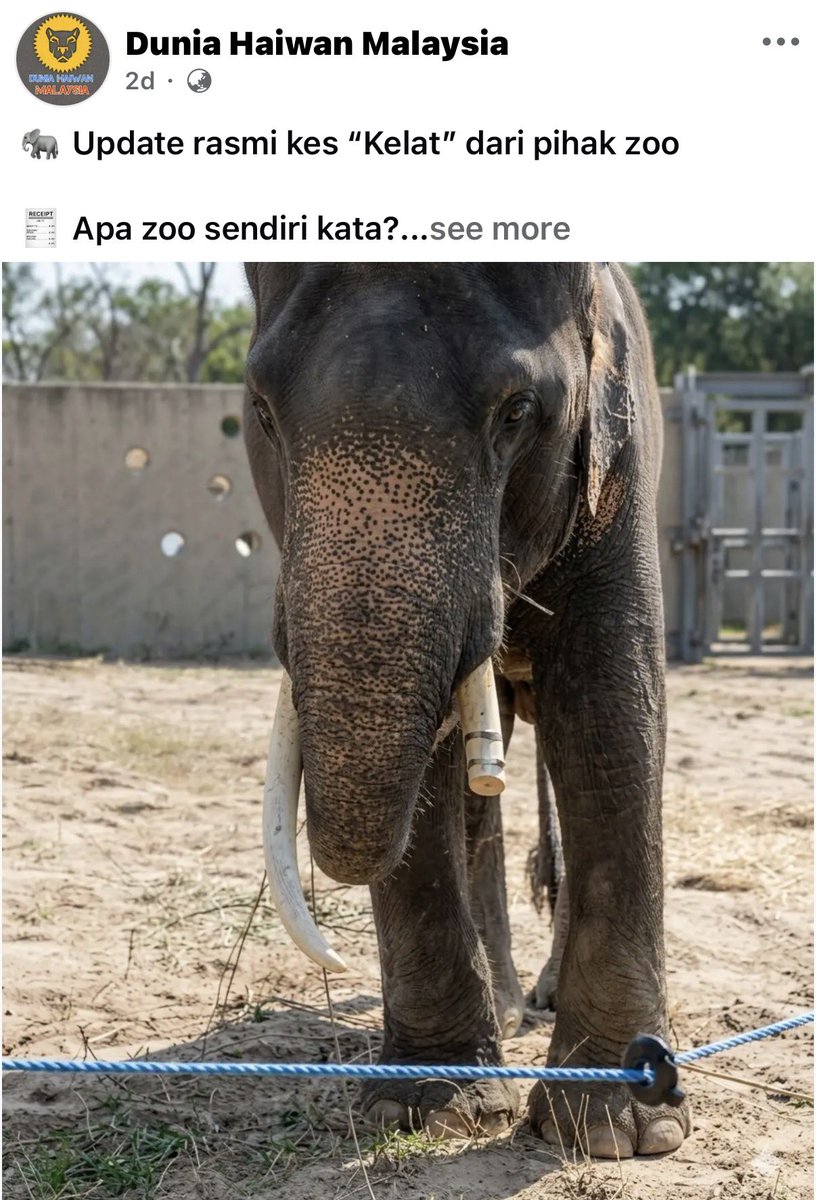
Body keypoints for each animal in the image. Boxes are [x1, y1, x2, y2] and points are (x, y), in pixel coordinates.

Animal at [243, 262, 691, 1158]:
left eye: (517, 413)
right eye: (263, 412)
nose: (334, 962)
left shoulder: (621, 460)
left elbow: (611, 708)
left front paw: (618, 1130)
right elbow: (440, 779)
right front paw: (427, 1107)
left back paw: (539, 1008)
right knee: (483, 806)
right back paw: (511, 1009)